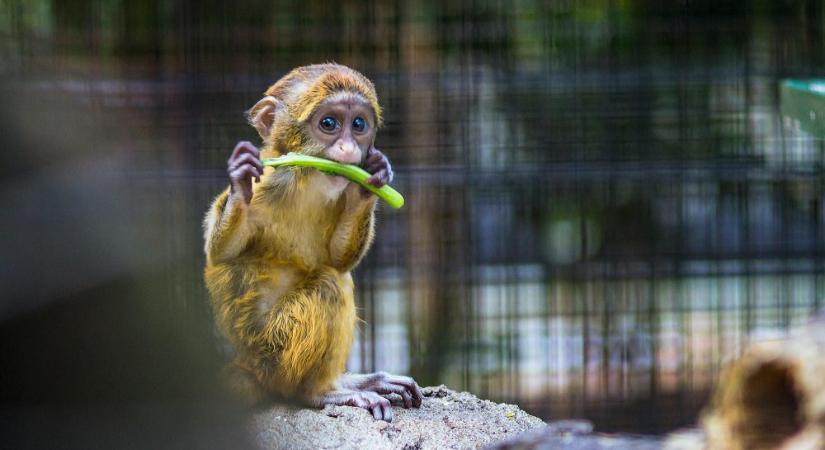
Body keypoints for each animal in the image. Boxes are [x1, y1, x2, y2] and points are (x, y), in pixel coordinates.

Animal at [203, 64, 422, 422]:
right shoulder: (269, 182)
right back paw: (318, 392)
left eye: (358, 125)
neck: (306, 180)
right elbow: (222, 253)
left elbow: (338, 259)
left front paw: (370, 181)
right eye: (329, 124)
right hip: (274, 353)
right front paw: (240, 182)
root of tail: (248, 366)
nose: (349, 149)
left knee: (336, 276)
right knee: (330, 285)